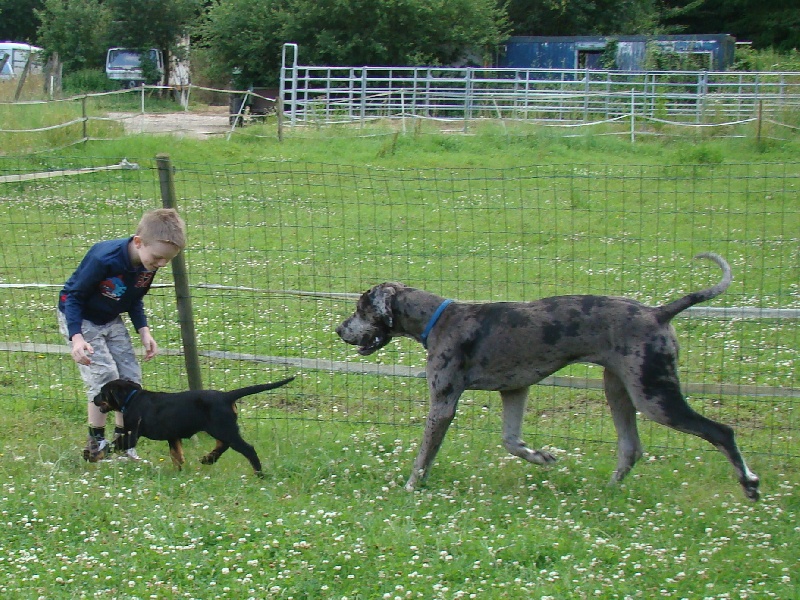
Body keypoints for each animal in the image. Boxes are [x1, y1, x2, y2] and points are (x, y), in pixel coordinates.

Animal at [94, 378, 294, 476]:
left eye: (102, 393)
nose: (93, 399)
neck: (131, 397)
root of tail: (227, 396)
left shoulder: (132, 434)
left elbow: (112, 445)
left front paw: (94, 456)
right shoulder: (172, 435)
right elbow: (176, 455)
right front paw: (178, 472)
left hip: (223, 428)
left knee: (247, 449)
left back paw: (259, 473)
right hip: (222, 428)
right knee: (223, 445)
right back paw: (208, 459)